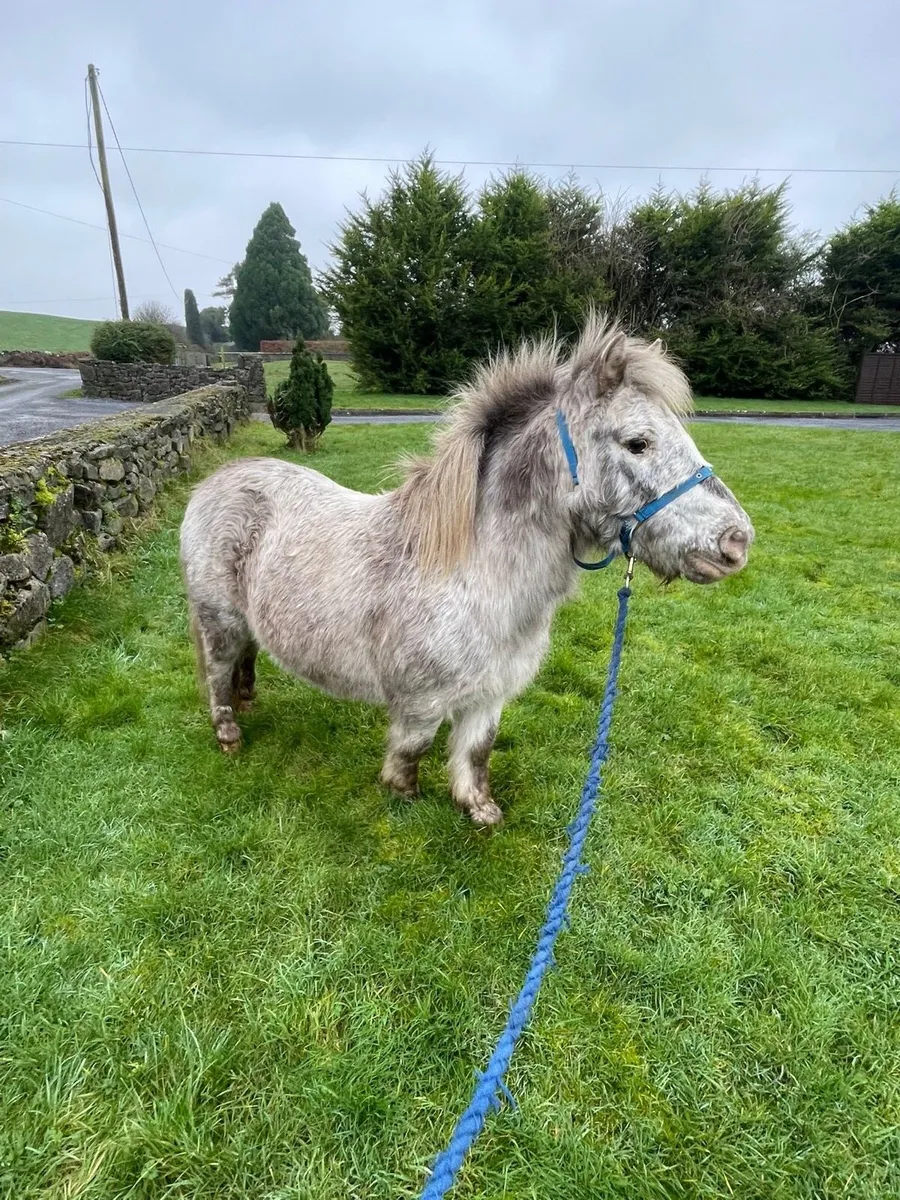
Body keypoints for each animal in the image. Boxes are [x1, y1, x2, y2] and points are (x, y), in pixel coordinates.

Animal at [180, 316, 753, 825]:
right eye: (638, 442)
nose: (736, 542)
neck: (477, 576)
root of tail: (218, 480)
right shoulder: (421, 701)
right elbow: (413, 749)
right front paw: (404, 797)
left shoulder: (492, 693)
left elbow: (477, 751)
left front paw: (478, 810)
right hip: (217, 621)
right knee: (217, 671)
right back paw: (229, 733)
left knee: (247, 656)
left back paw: (249, 701)